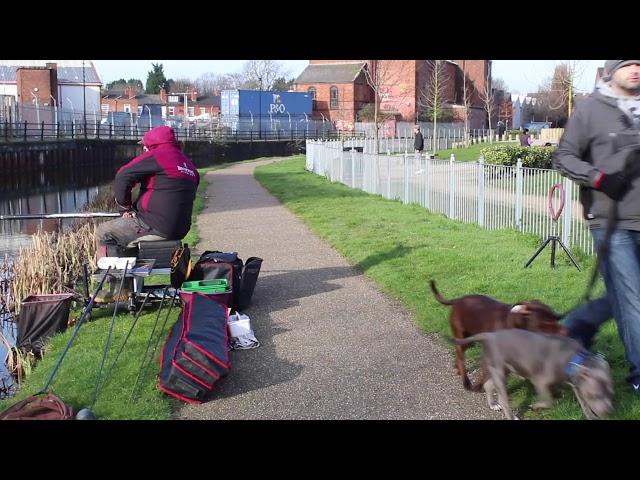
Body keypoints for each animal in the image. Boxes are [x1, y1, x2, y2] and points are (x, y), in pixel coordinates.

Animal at [432, 282, 568, 390]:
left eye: (556, 317)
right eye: (545, 323)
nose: (565, 332)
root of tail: (458, 300)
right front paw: (479, 387)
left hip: (469, 340)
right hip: (463, 338)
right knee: (461, 357)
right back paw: (466, 381)